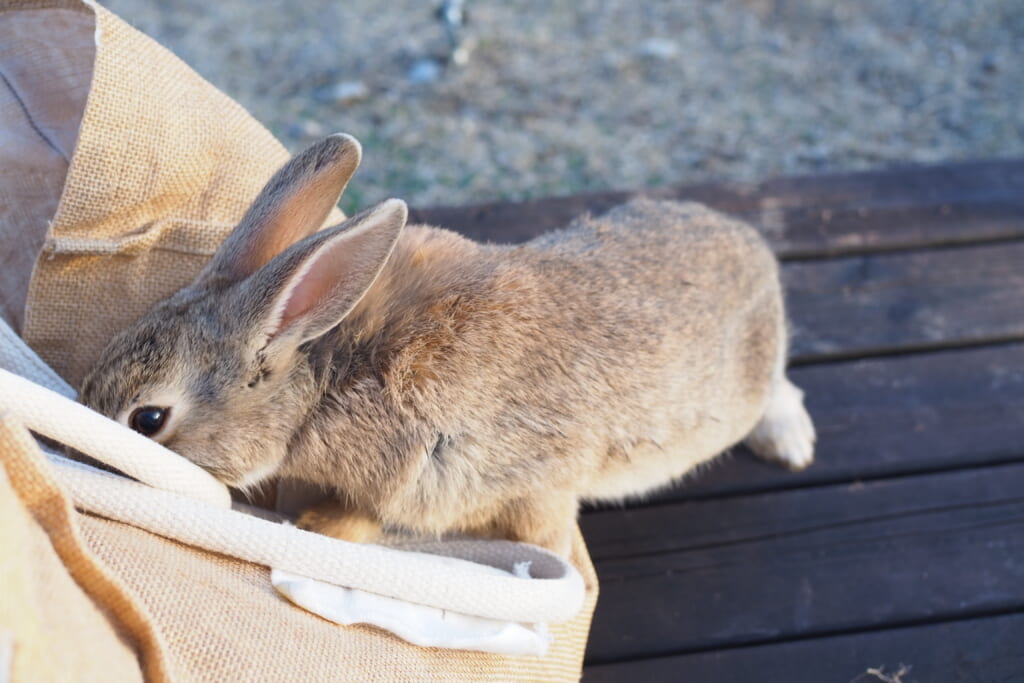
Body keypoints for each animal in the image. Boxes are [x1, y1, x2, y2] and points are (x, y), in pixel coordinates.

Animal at [79, 132, 815, 557]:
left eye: (149, 418)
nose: (84, 455)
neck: (324, 379)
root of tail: (753, 245)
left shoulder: (501, 480)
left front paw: (319, 529)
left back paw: (791, 443)